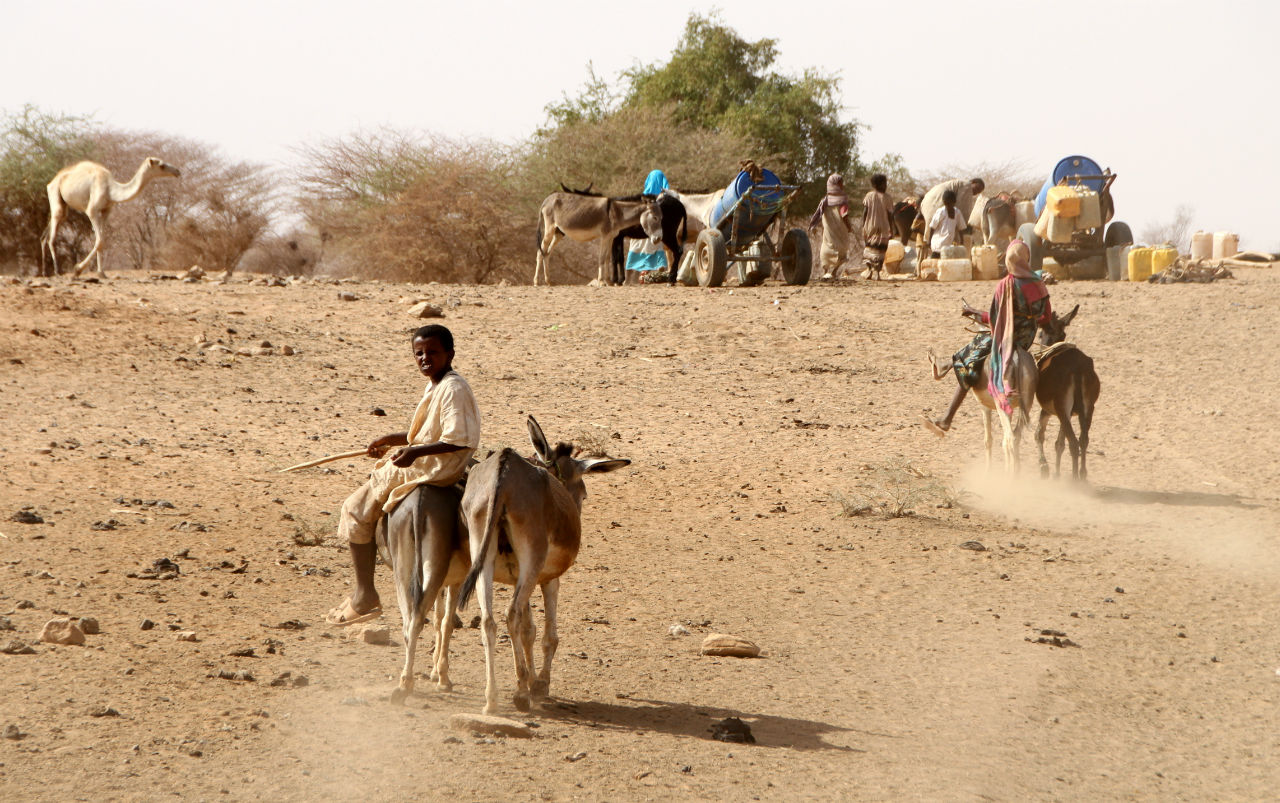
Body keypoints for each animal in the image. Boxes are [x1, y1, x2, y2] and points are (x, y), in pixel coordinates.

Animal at [41, 156, 180, 279]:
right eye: (161, 165)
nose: (177, 171)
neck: (111, 190)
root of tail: (51, 181)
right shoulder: (92, 210)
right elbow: (99, 240)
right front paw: (77, 270)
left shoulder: (106, 211)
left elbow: (102, 240)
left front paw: (101, 273)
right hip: (55, 194)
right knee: (52, 235)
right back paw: (57, 271)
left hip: (63, 206)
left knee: (46, 235)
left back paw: (44, 272)